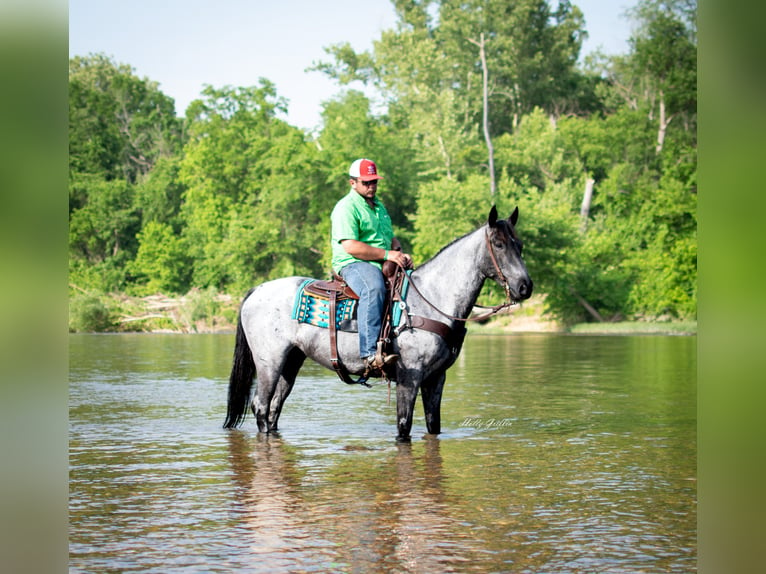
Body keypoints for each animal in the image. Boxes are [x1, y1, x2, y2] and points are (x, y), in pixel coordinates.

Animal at [222, 205, 536, 444]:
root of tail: (256, 291)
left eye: (519, 245)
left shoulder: (436, 378)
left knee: (274, 409)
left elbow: (433, 426)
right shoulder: (410, 377)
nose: (525, 287)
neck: (433, 297)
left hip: (291, 361)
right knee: (261, 406)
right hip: (269, 362)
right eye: (498, 245)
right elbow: (403, 426)